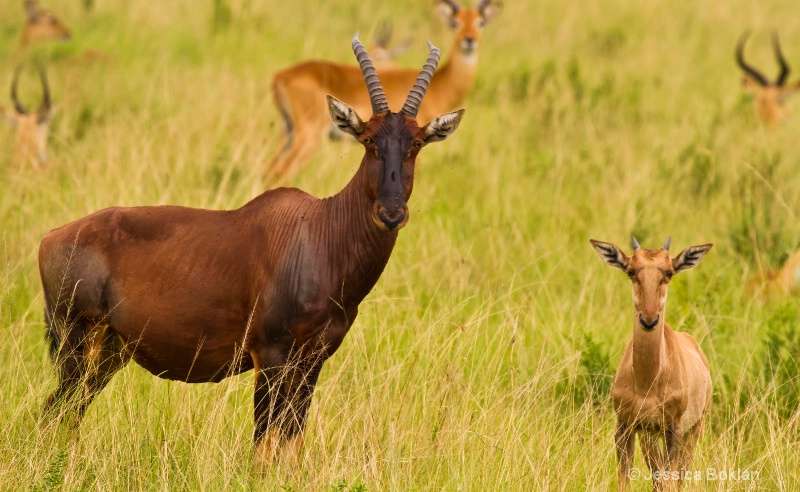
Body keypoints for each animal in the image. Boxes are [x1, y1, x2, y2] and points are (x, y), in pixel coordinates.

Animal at [37, 33, 462, 466]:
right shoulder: (270, 355)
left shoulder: (312, 360)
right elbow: (263, 442)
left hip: (110, 352)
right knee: (55, 410)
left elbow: (291, 439)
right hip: (76, 342)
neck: (320, 230)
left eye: (416, 143)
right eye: (369, 139)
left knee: (66, 411)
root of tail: (51, 237)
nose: (391, 213)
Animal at [268, 0, 500, 181]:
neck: (442, 84)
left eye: (480, 22)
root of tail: (281, 75)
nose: (469, 40)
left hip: (287, 133)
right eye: (455, 23)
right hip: (308, 135)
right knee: (281, 171)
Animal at [588, 236, 712, 490]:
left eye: (669, 272)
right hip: (649, 435)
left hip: (694, 429)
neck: (648, 380)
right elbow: (624, 479)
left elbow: (669, 480)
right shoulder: (625, 427)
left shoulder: (674, 430)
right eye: (631, 270)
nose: (649, 320)